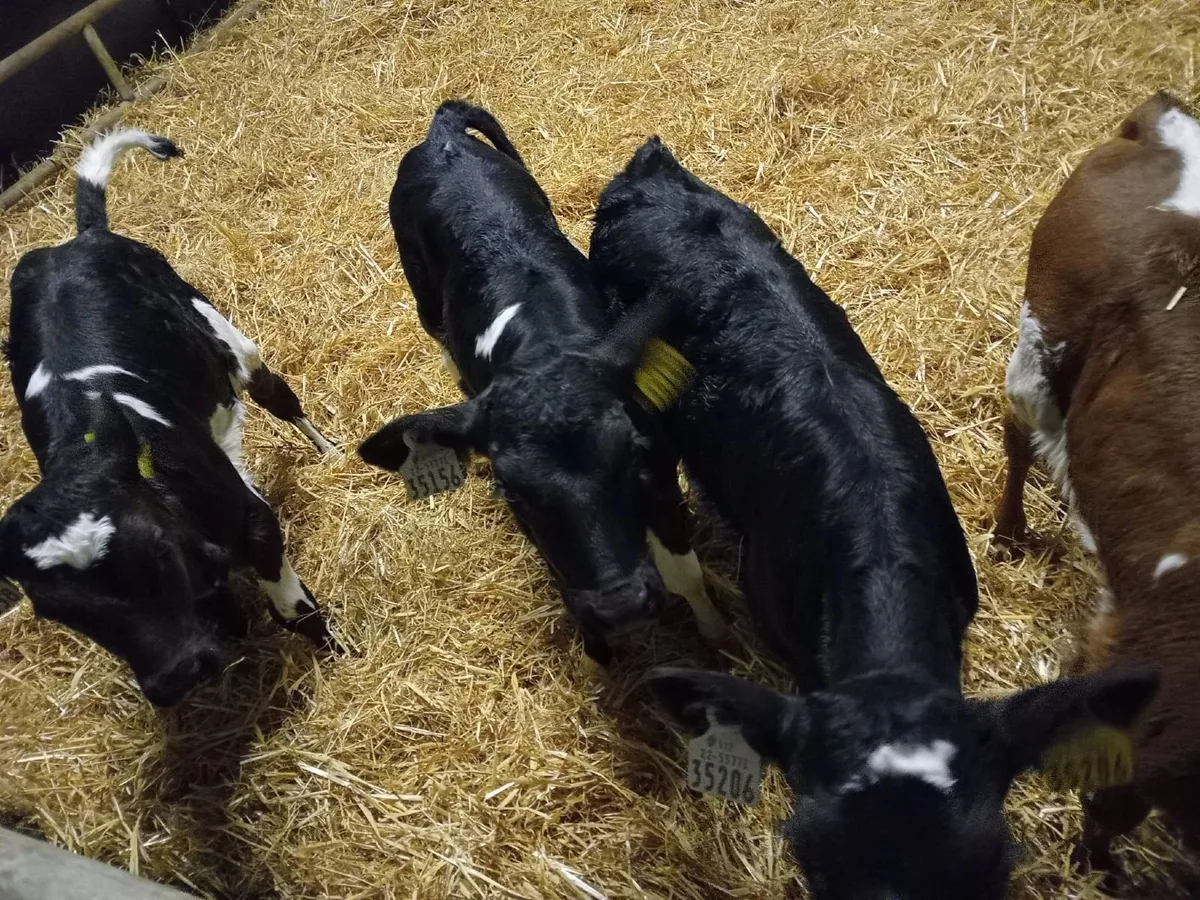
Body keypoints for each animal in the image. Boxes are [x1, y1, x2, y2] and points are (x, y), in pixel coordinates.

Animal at [0, 128, 337, 707]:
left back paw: (330, 452)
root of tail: (80, 240)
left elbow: (297, 611)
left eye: (156, 550)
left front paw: (342, 654)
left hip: (223, 333)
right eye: (55, 609)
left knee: (277, 394)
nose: (178, 674)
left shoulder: (255, 523)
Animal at [357, 101, 727, 663]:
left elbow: (686, 572)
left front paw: (715, 635)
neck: (543, 345)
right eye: (512, 492)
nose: (621, 607)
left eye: (632, 455)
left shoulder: (663, 473)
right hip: (423, 299)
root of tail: (441, 136)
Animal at [995, 91, 1200, 885]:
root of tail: (1167, 123)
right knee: (1018, 437)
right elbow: (1110, 808)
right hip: (1040, 344)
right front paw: (1096, 869)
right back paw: (1008, 535)